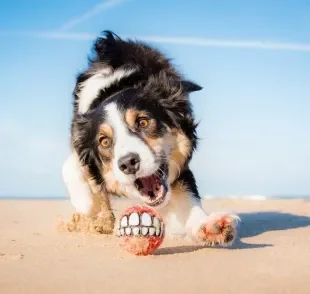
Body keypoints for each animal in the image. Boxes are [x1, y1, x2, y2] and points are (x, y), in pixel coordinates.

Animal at [61, 30, 239, 246]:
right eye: (104, 141)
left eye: (143, 122)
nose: (128, 163)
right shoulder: (78, 138)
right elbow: (74, 164)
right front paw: (86, 203)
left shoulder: (179, 170)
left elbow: (188, 197)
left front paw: (208, 226)